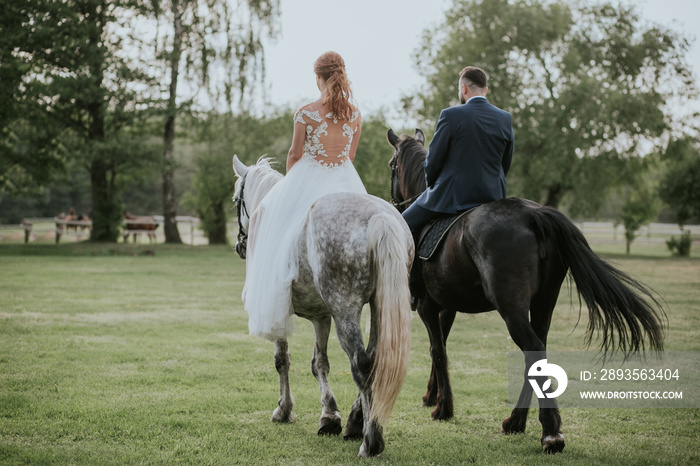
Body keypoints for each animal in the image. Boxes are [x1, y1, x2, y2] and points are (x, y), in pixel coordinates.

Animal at [231, 157, 416, 458]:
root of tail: (379, 216)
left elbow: (282, 360)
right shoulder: (321, 316)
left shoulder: (279, 311)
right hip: (378, 308)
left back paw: (370, 440)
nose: (239, 244)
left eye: (237, 199)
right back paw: (357, 422)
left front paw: (284, 410)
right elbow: (319, 363)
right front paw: (329, 416)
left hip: (345, 311)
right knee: (375, 359)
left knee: (361, 363)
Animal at [388, 127, 668, 452]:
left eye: (391, 165)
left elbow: (438, 350)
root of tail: (534, 214)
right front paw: (432, 396)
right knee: (537, 351)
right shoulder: (446, 307)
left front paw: (442, 409)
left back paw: (550, 433)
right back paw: (516, 423)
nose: (393, 201)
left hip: (511, 306)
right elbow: (440, 347)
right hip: (544, 301)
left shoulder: (425, 305)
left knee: (532, 349)